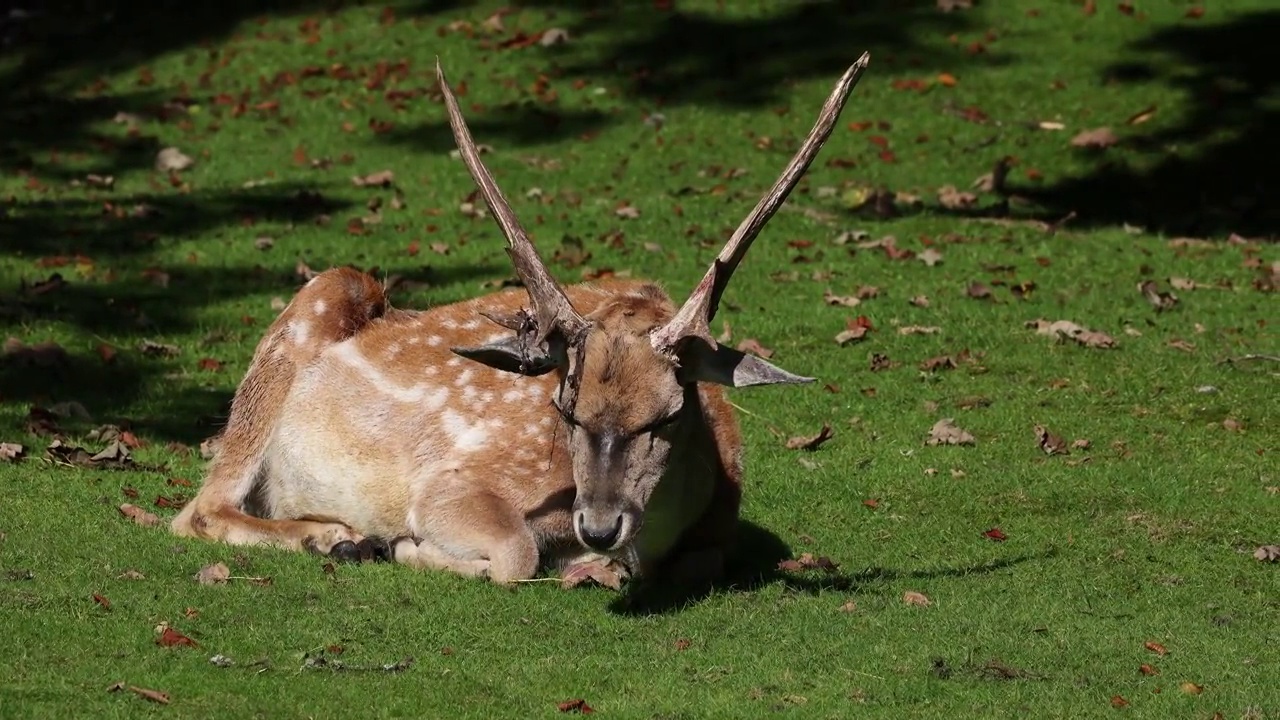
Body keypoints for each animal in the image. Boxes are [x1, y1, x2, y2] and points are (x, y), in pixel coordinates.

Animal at [170, 53, 870, 586]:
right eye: (566, 409)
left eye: (670, 414)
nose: (599, 526)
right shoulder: (453, 484)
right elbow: (516, 552)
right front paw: (404, 546)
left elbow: (701, 561)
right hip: (316, 304)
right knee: (197, 511)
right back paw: (336, 537)